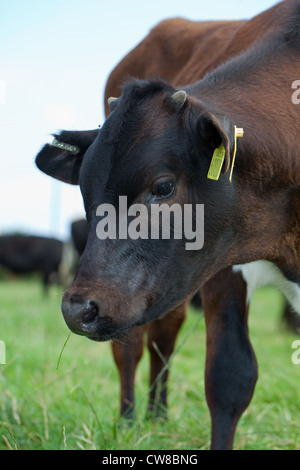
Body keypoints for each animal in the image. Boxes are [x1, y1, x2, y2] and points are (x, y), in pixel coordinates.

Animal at [35, 0, 300, 450]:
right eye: (86, 191)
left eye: (162, 186)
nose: (76, 308)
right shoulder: (224, 265)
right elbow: (230, 376)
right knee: (134, 345)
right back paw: (129, 421)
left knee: (163, 335)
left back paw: (157, 418)